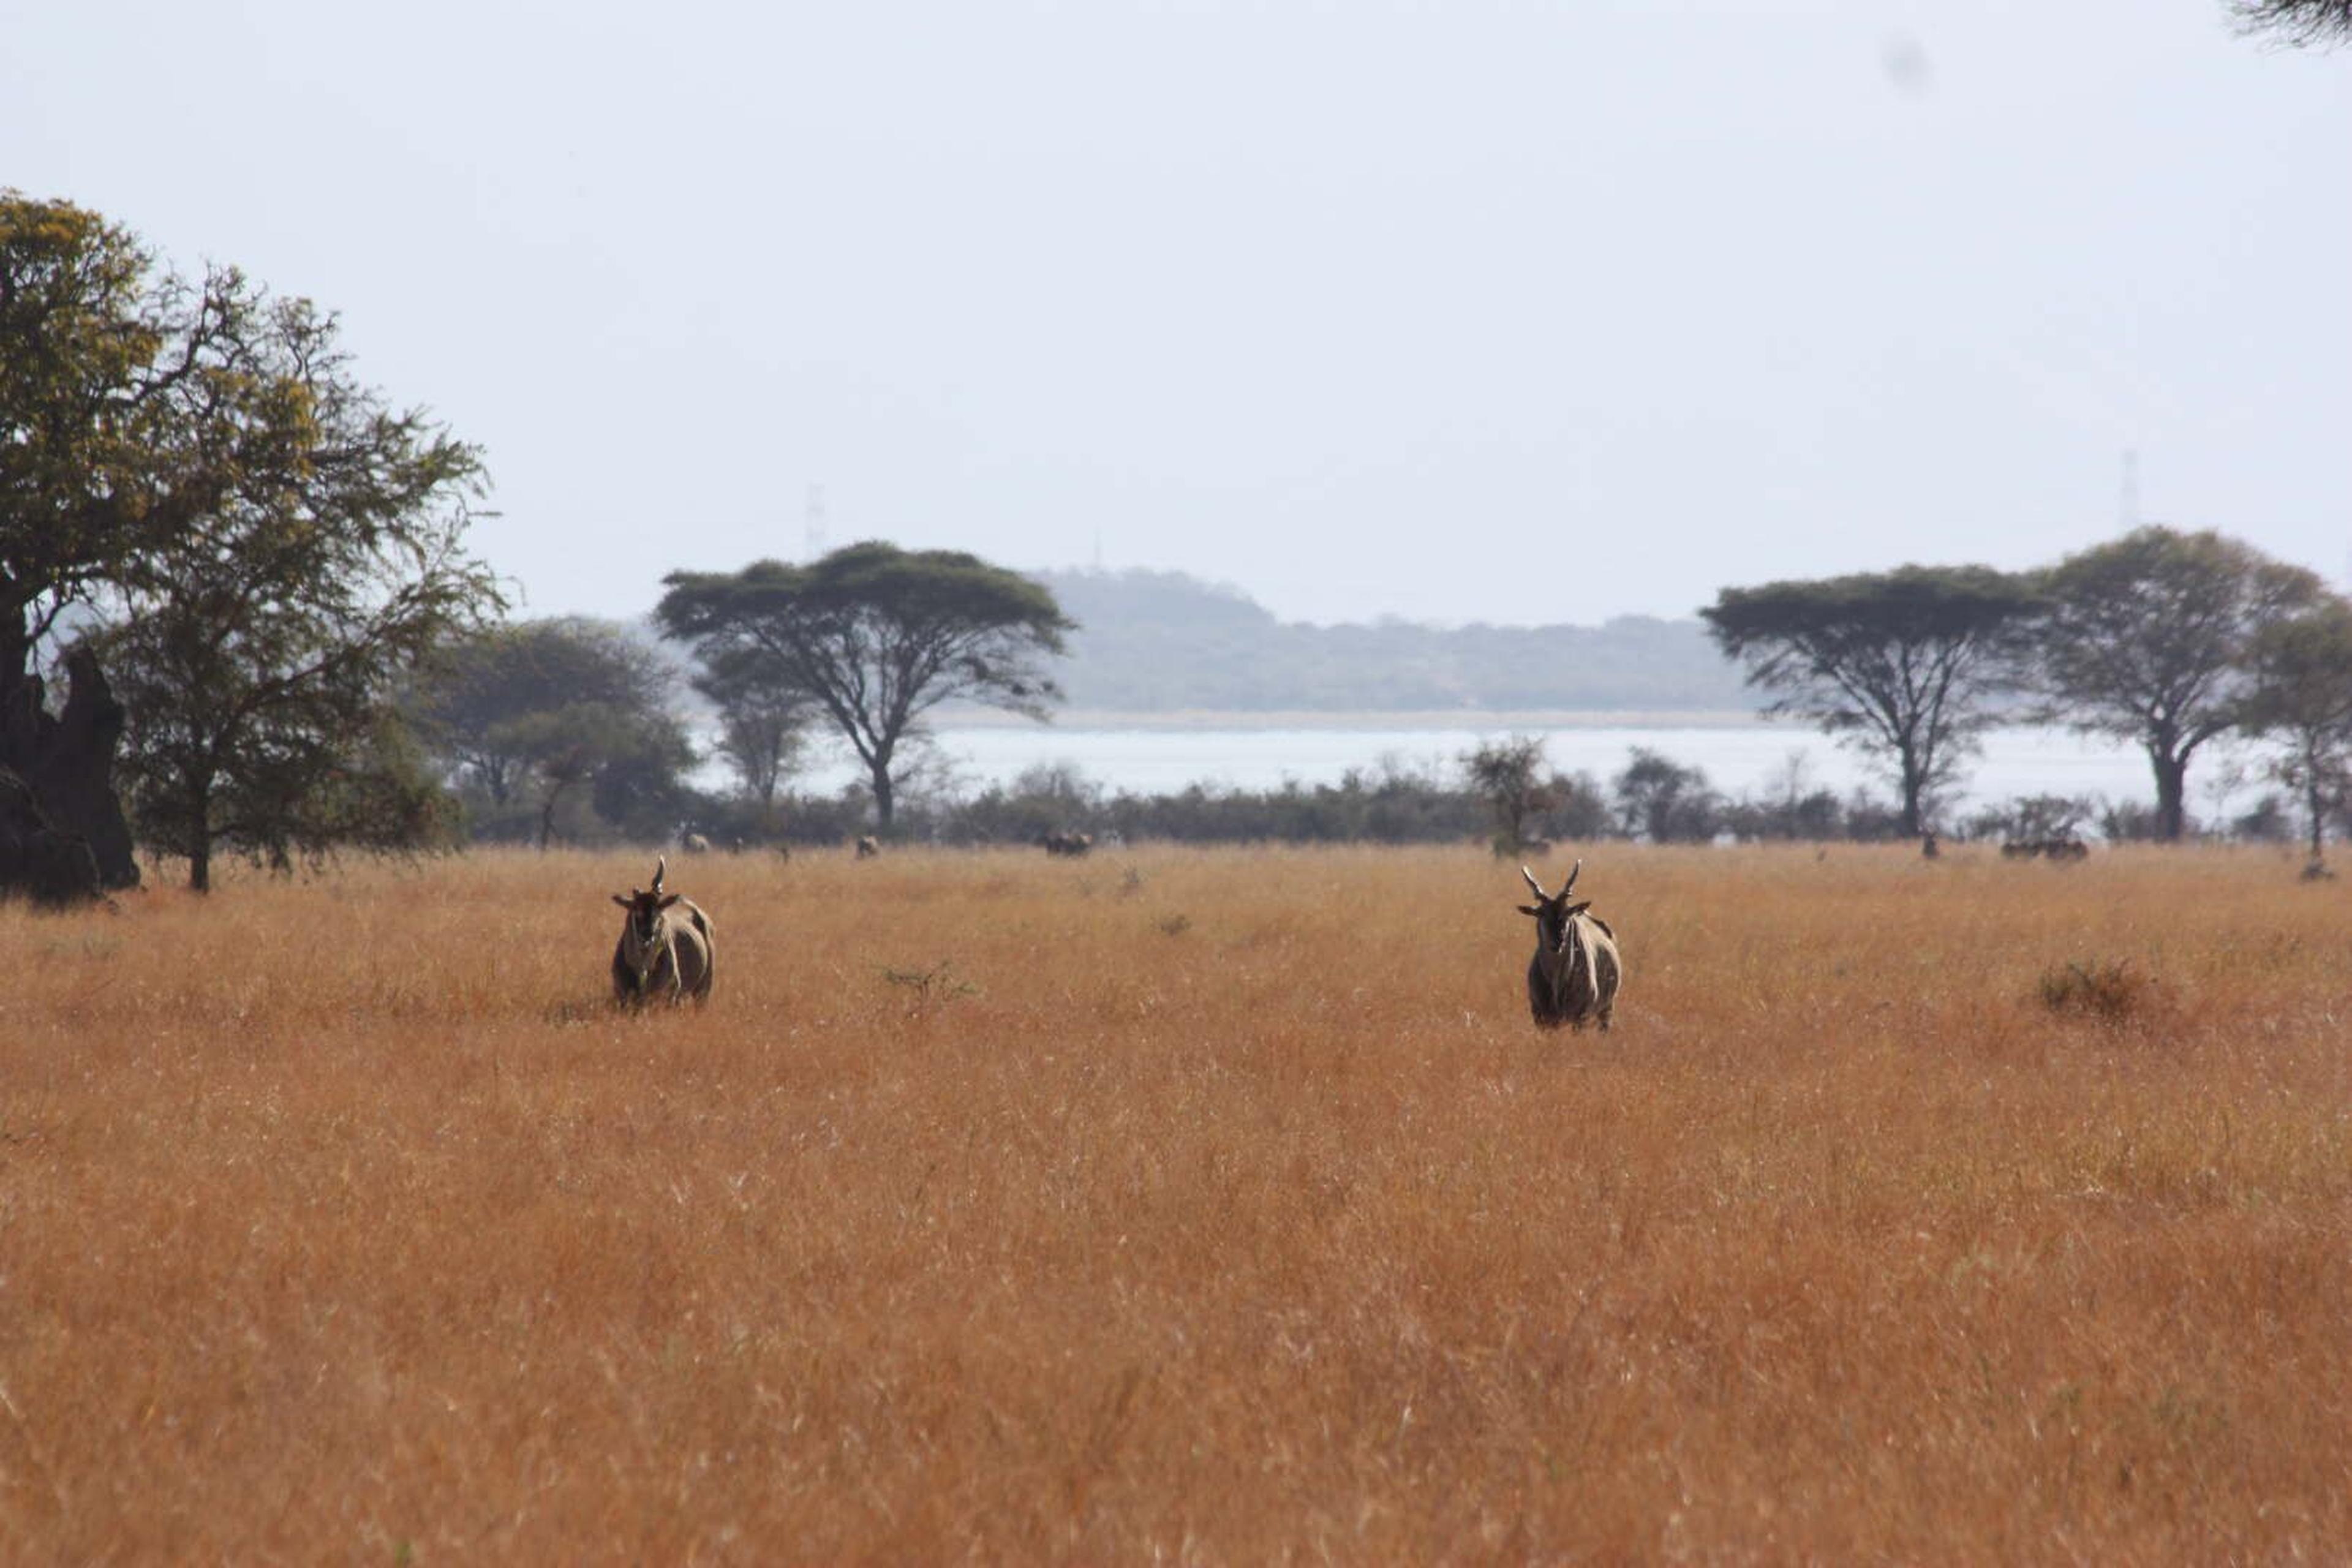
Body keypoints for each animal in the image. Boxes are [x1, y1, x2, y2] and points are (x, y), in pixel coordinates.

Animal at [611, 860, 710, 1006]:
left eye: (658, 911)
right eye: (636, 909)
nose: (647, 936)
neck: (642, 967)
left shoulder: (670, 995)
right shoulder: (621, 997)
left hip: (703, 989)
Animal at [1524, 860, 1618, 1030]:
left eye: (1567, 914)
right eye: (1541, 914)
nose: (1558, 942)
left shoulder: (1581, 1017)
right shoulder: (1541, 1018)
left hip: (1607, 1009)